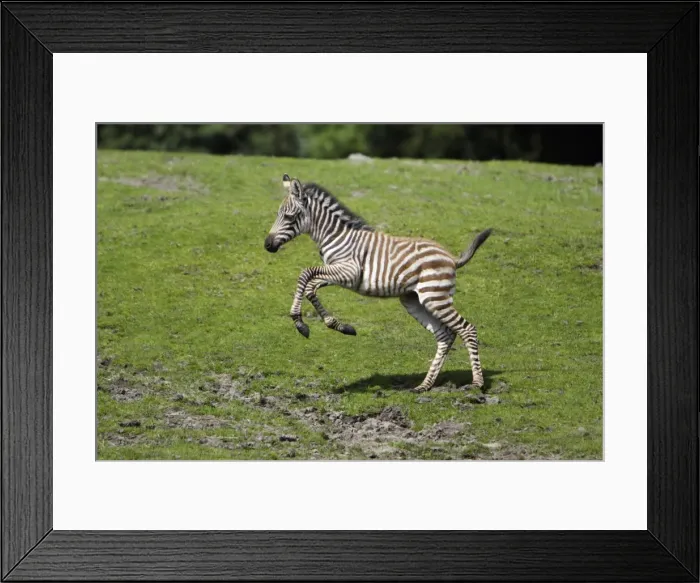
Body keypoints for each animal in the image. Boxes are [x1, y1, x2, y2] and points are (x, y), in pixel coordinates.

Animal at [264, 174, 493, 393]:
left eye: (289, 216)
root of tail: (451, 258)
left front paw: (300, 323)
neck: (335, 236)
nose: (267, 245)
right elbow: (311, 285)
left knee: (467, 329)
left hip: (434, 297)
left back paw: (477, 383)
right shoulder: (338, 274)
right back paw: (424, 386)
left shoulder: (349, 271)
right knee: (445, 335)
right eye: (278, 214)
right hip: (415, 300)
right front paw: (339, 326)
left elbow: (306, 274)